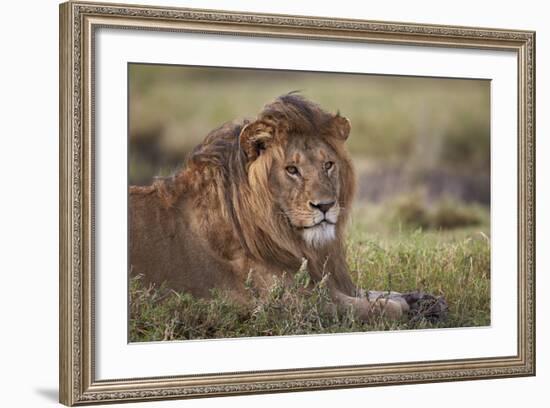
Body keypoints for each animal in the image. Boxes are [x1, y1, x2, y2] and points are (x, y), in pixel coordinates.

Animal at [128, 92, 444, 322]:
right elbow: (378, 306)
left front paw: (425, 300)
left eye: (328, 165)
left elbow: (379, 293)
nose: (325, 206)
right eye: (292, 169)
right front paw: (404, 307)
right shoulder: (288, 302)